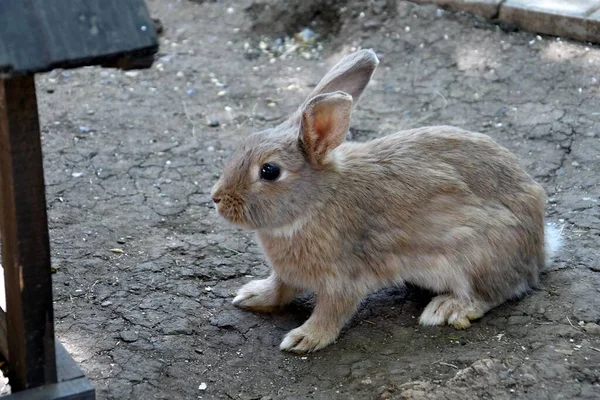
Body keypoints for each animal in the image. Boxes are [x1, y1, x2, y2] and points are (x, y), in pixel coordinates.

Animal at [211, 50, 564, 354]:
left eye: (269, 171)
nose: (217, 199)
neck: (317, 201)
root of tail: (539, 245)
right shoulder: (289, 274)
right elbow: (280, 287)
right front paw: (252, 295)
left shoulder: (344, 278)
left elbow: (332, 311)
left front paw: (305, 338)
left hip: (479, 256)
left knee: (497, 292)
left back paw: (446, 308)